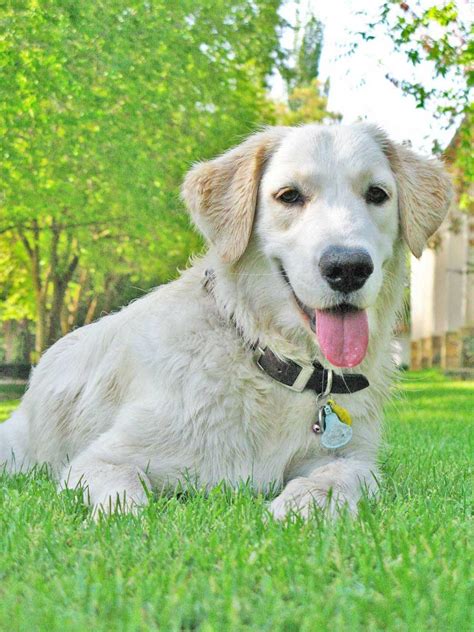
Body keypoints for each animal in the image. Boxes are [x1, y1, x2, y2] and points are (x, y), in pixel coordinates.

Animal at [0, 124, 452, 520]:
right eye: (289, 195)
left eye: (377, 194)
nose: (348, 268)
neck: (269, 358)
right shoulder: (100, 459)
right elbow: (123, 495)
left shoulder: (354, 457)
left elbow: (341, 475)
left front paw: (302, 507)